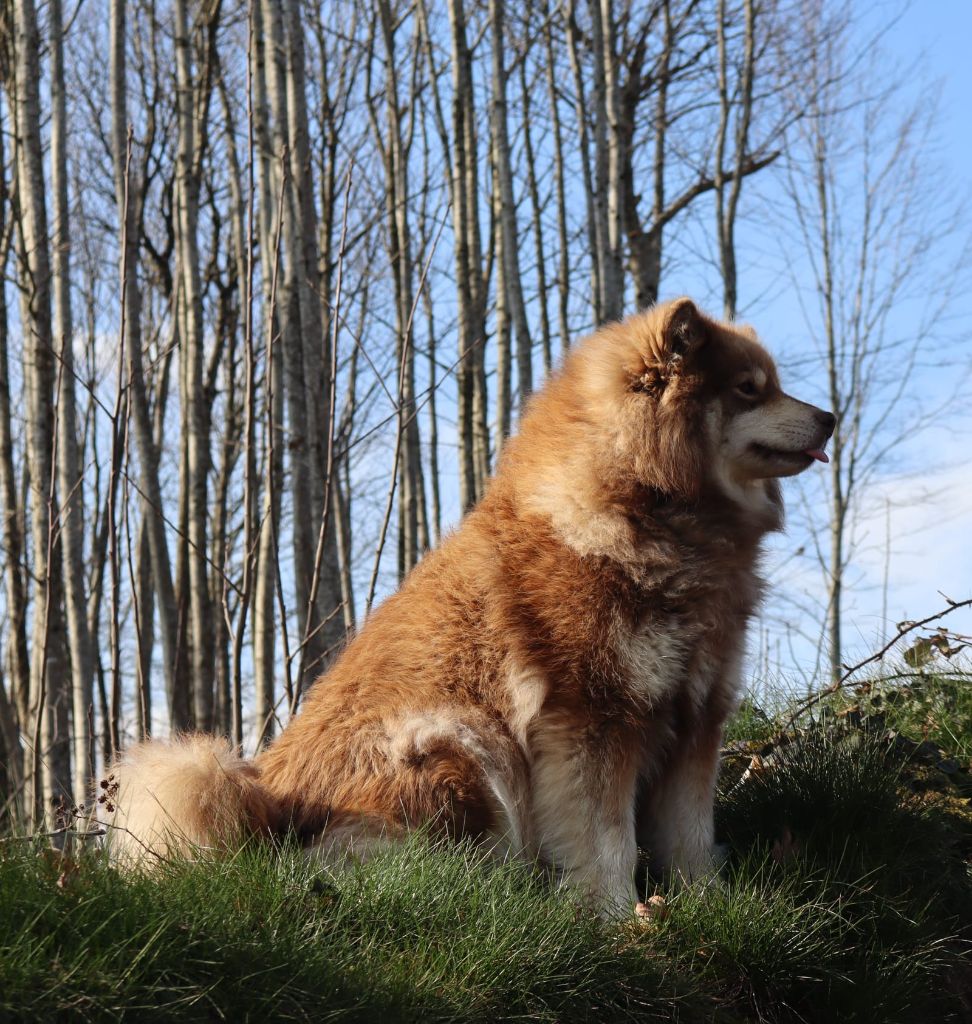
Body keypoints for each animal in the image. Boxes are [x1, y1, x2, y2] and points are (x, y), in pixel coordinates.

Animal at [108, 299, 835, 917]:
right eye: (749, 389)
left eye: (770, 384)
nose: (830, 416)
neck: (647, 508)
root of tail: (266, 808)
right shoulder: (591, 720)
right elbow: (606, 841)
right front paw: (611, 917)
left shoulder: (694, 717)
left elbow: (688, 837)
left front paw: (707, 906)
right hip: (466, 742)